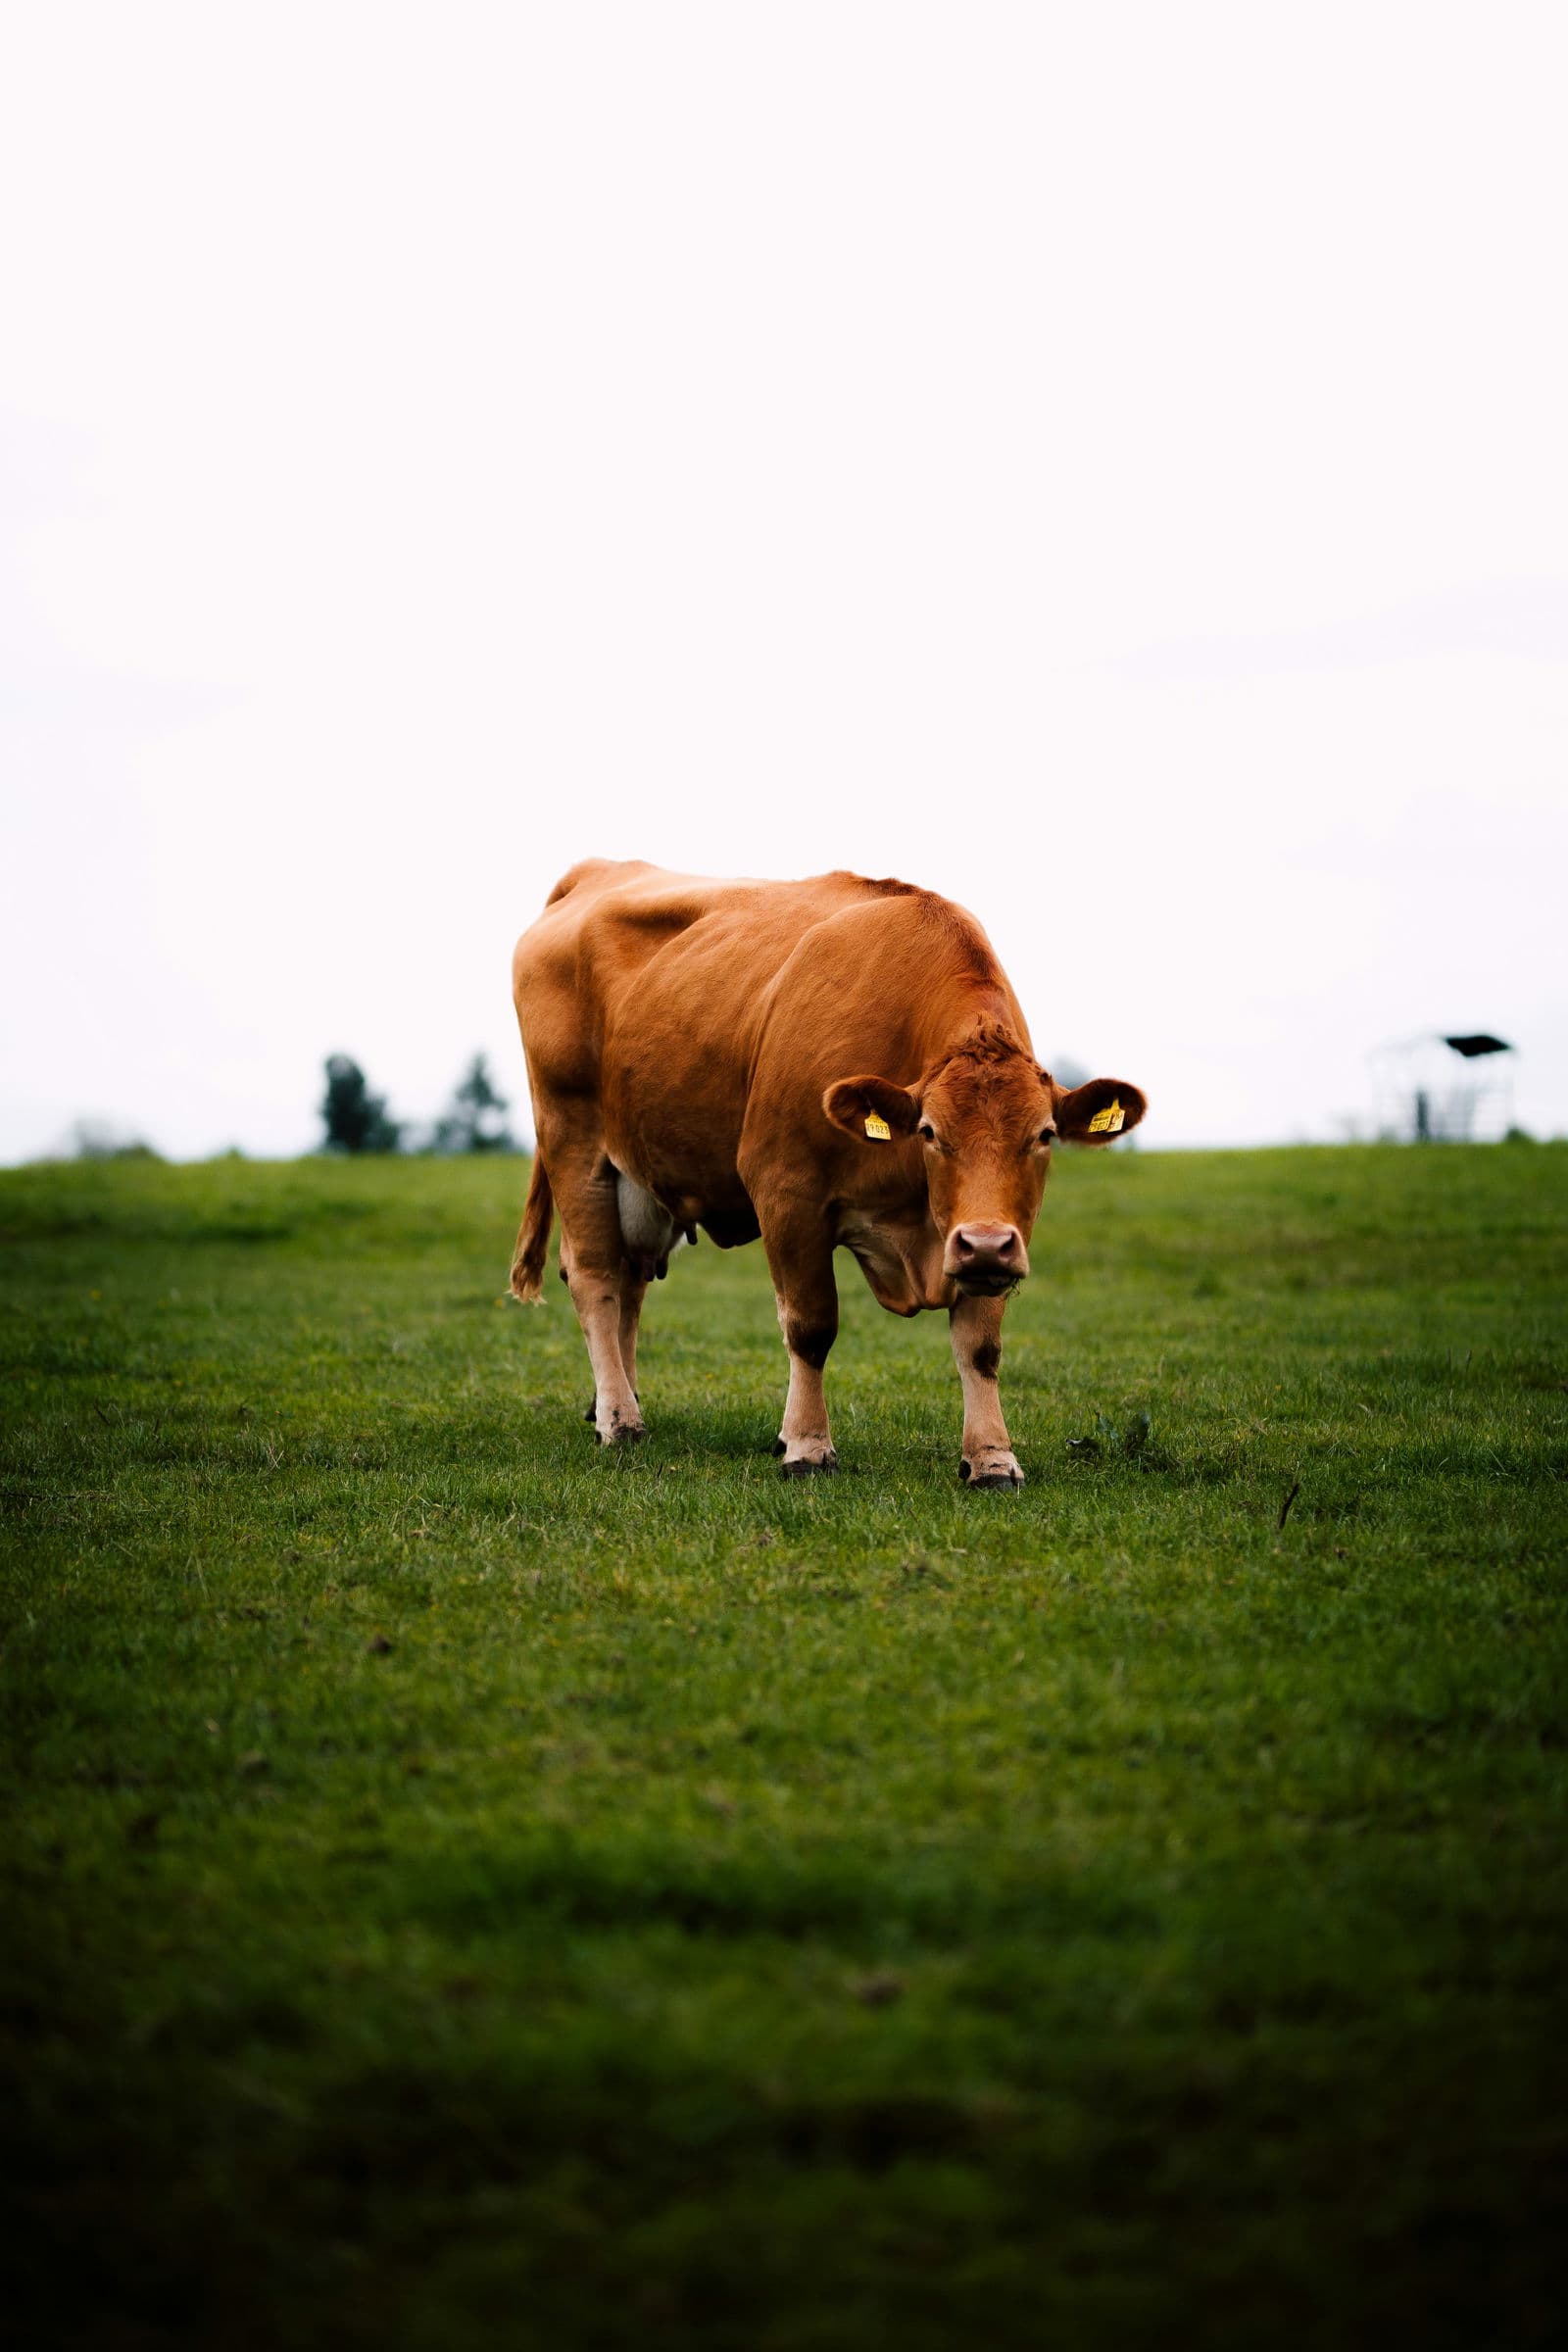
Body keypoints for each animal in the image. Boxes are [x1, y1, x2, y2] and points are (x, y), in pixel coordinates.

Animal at [510, 860, 1146, 1487]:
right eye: (930, 1132)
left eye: (1043, 1135)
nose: (984, 1243)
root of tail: (595, 873)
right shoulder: (786, 1192)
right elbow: (811, 1327)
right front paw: (807, 1446)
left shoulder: (996, 1237)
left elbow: (980, 1345)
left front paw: (991, 1457)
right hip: (574, 1141)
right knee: (595, 1277)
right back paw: (620, 1420)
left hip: (639, 1175)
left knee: (630, 1280)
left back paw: (614, 1400)